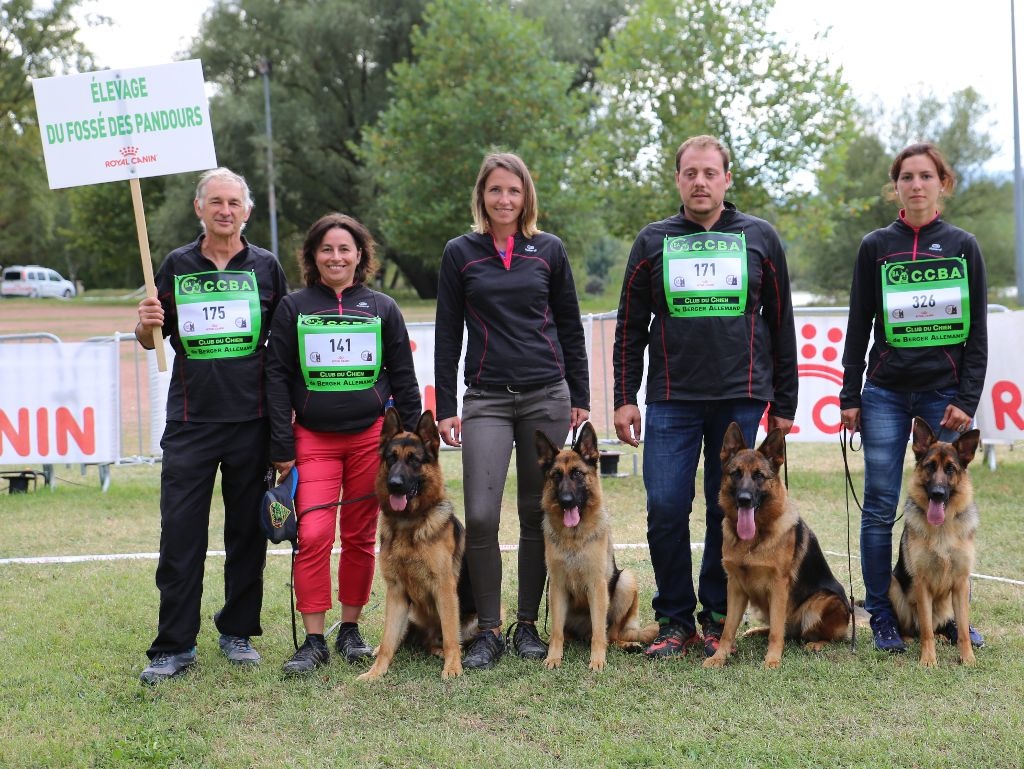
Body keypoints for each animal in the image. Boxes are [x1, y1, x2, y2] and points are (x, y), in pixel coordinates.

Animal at [356, 409, 475, 679]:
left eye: (414, 460)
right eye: (391, 458)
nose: (394, 484)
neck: (408, 523)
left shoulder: (444, 589)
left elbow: (451, 636)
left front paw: (453, 667)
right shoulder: (396, 592)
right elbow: (388, 641)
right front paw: (376, 673)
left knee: (448, 639)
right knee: (408, 640)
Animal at [532, 423, 659, 671]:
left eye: (577, 474)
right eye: (556, 476)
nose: (566, 501)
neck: (574, 536)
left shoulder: (597, 586)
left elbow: (600, 633)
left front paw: (597, 660)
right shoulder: (557, 586)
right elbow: (556, 632)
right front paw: (553, 657)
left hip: (626, 581)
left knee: (612, 633)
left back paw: (625, 644)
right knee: (569, 632)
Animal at [704, 423, 856, 671]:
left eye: (759, 475)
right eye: (736, 473)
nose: (744, 499)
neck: (754, 539)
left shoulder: (778, 586)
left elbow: (777, 630)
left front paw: (772, 660)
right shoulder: (735, 586)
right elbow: (727, 629)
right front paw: (719, 657)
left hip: (821, 603)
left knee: (822, 635)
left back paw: (816, 643)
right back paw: (757, 631)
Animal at [888, 415, 983, 667]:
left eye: (950, 469)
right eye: (930, 466)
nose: (938, 494)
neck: (942, 528)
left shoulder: (961, 584)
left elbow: (962, 629)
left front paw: (967, 658)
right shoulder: (922, 585)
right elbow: (926, 630)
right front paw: (928, 660)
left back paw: (944, 636)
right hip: (894, 586)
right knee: (915, 628)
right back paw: (905, 638)